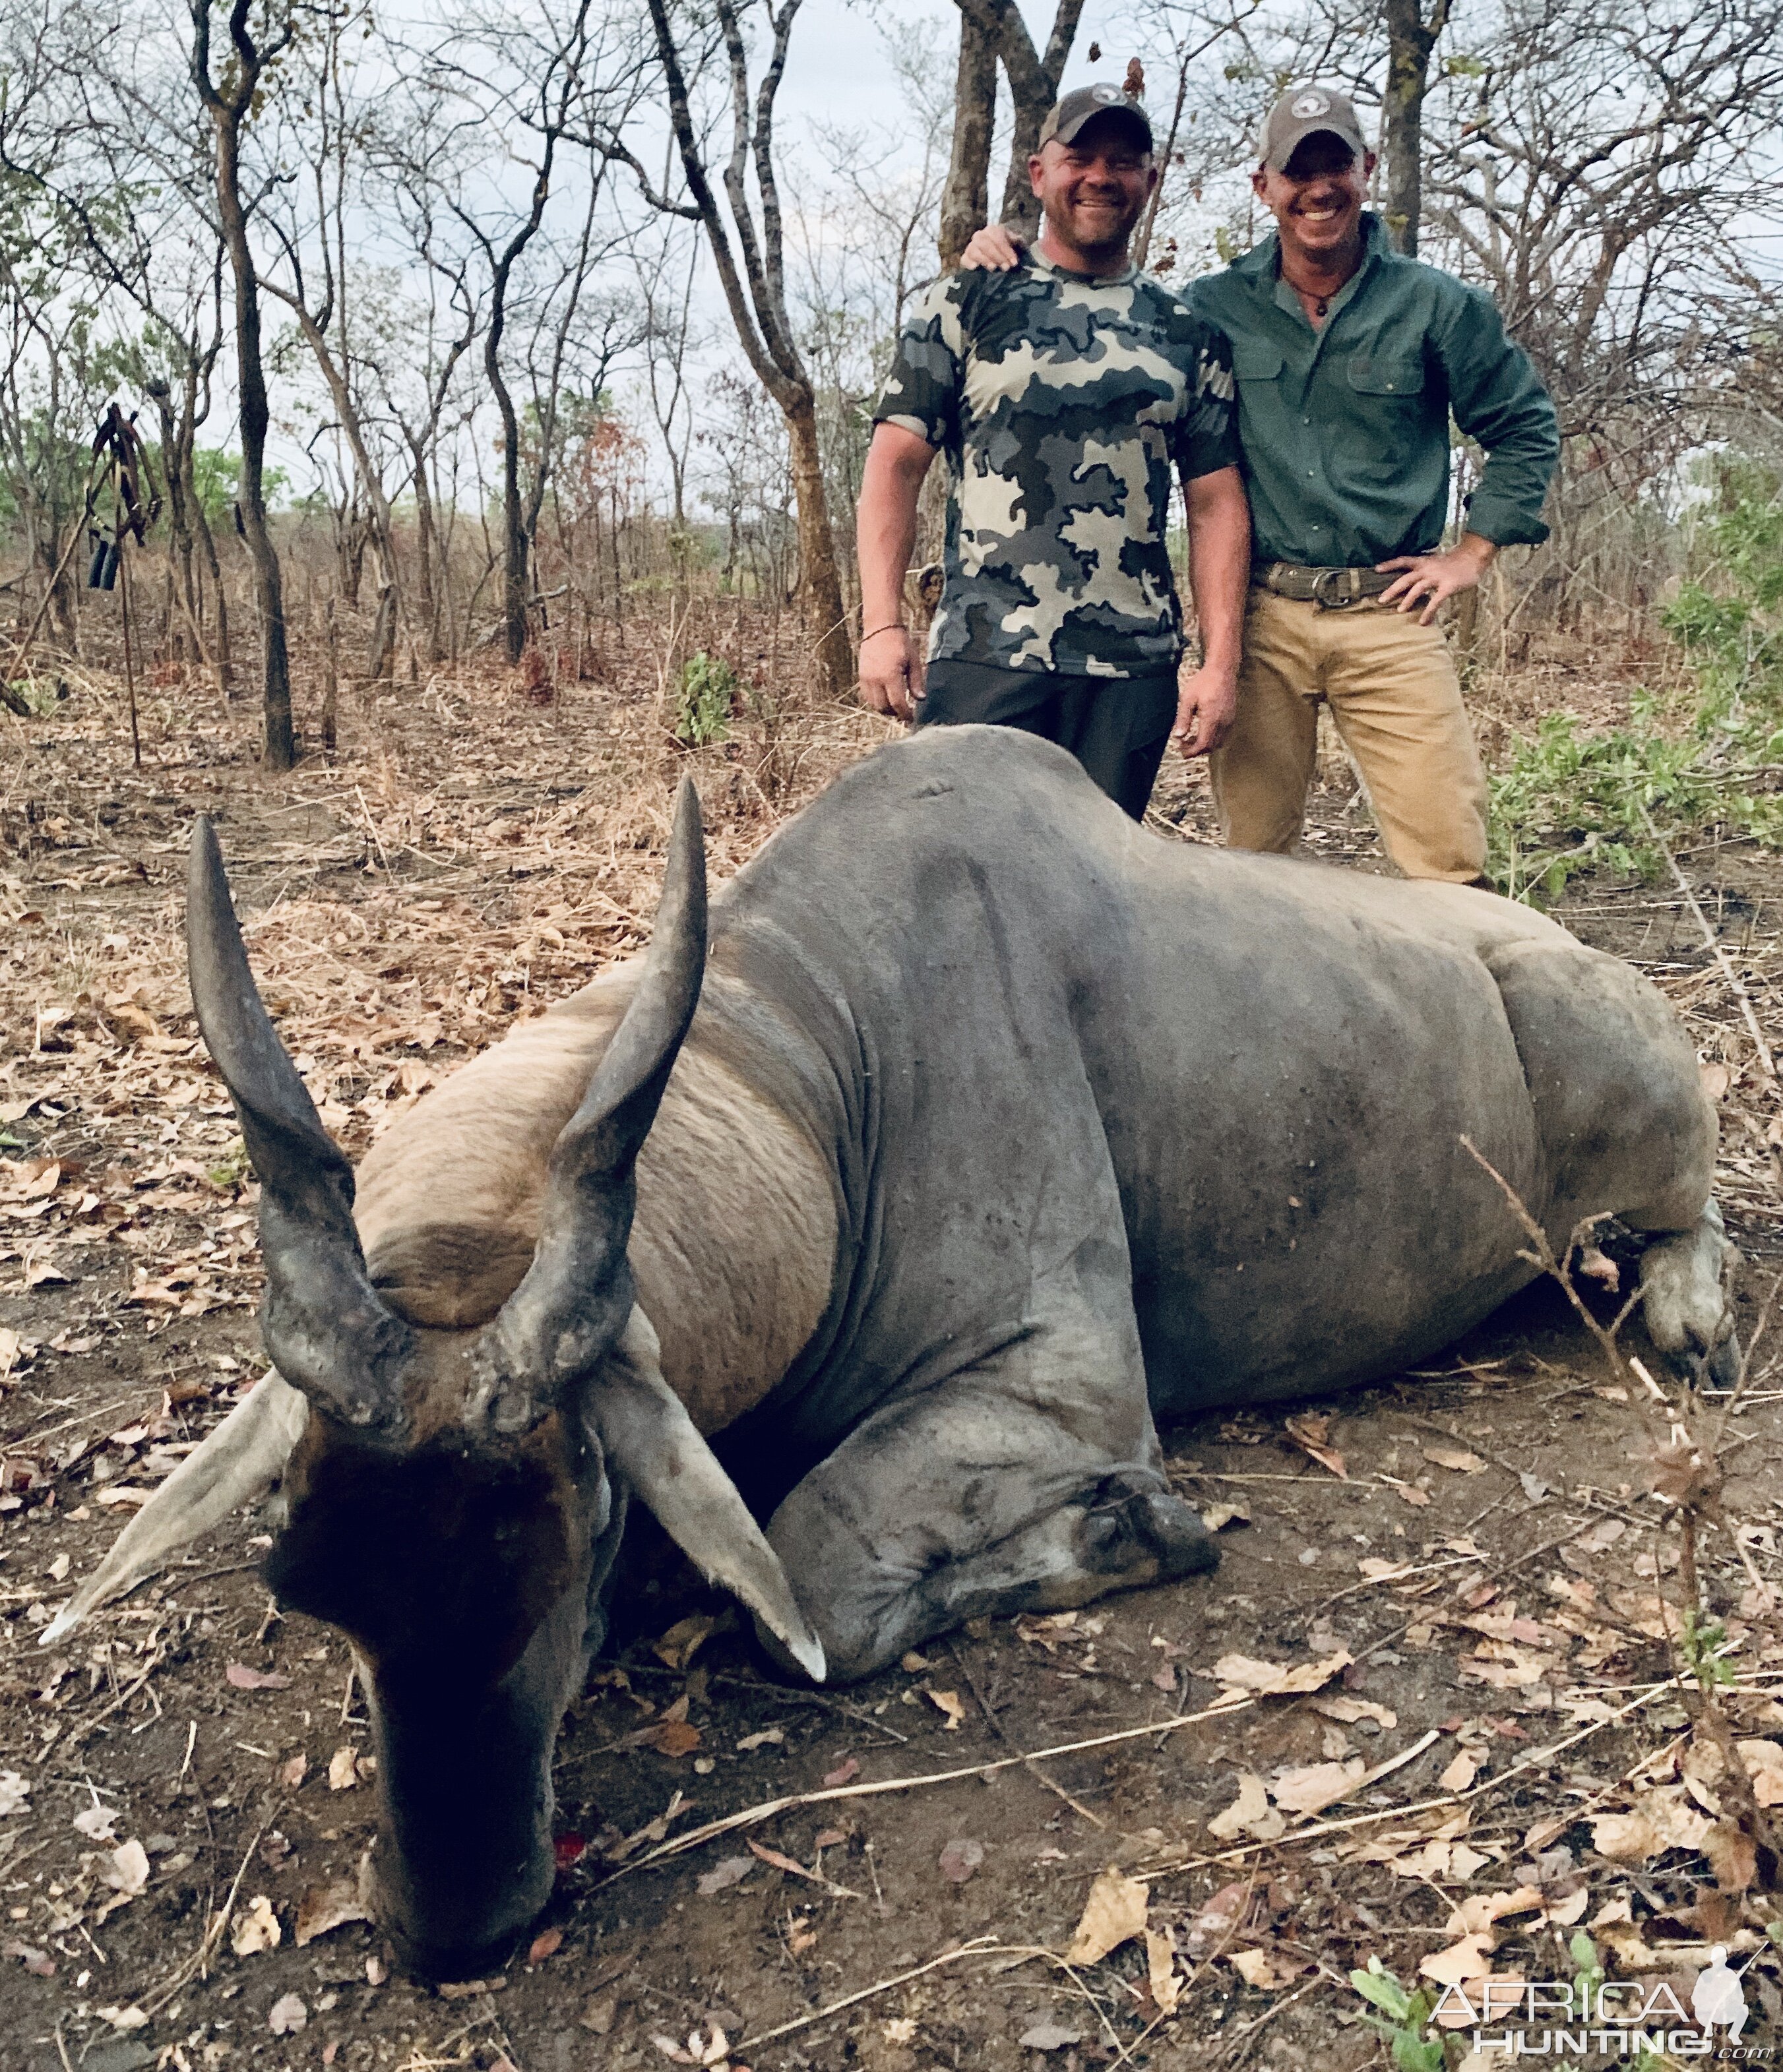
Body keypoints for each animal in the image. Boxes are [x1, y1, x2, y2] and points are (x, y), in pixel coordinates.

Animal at [48, 729, 1733, 1972]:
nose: (454, 1929)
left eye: (586, 1541)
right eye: (312, 1584)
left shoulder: (1056, 1382)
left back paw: (1691, 1309)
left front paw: (1126, 1529)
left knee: (1686, 1213)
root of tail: (1560, 947)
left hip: (1640, 1110)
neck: (821, 1046)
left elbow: (818, 1569)